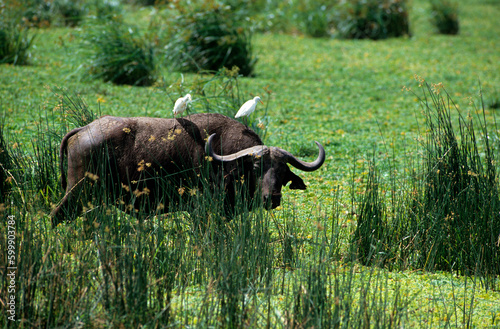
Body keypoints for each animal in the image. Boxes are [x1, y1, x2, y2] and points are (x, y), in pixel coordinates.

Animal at [49, 113, 324, 226]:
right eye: (257, 167)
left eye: (283, 171)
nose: (272, 198)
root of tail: (84, 130)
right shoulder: (203, 212)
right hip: (77, 192)